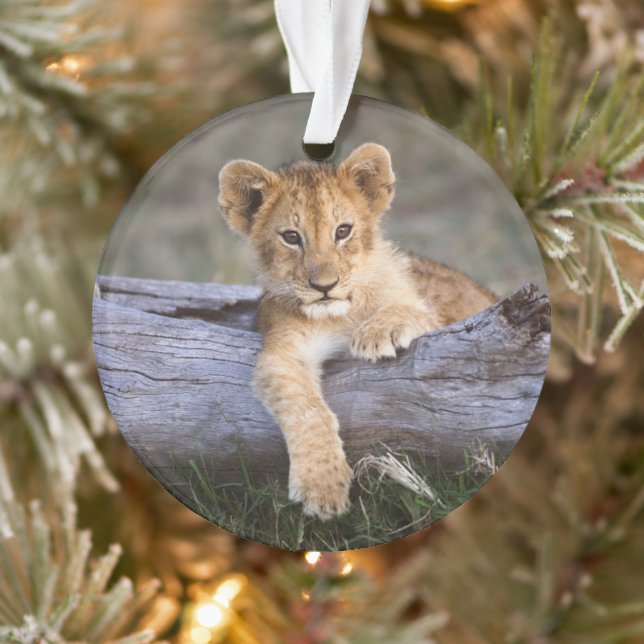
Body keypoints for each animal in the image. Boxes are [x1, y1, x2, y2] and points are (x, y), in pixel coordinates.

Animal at [218, 143, 495, 520]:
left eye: (343, 231)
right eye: (291, 237)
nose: (324, 286)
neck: (340, 314)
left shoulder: (441, 321)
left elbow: (412, 310)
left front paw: (379, 332)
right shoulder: (283, 350)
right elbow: (307, 409)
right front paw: (322, 487)